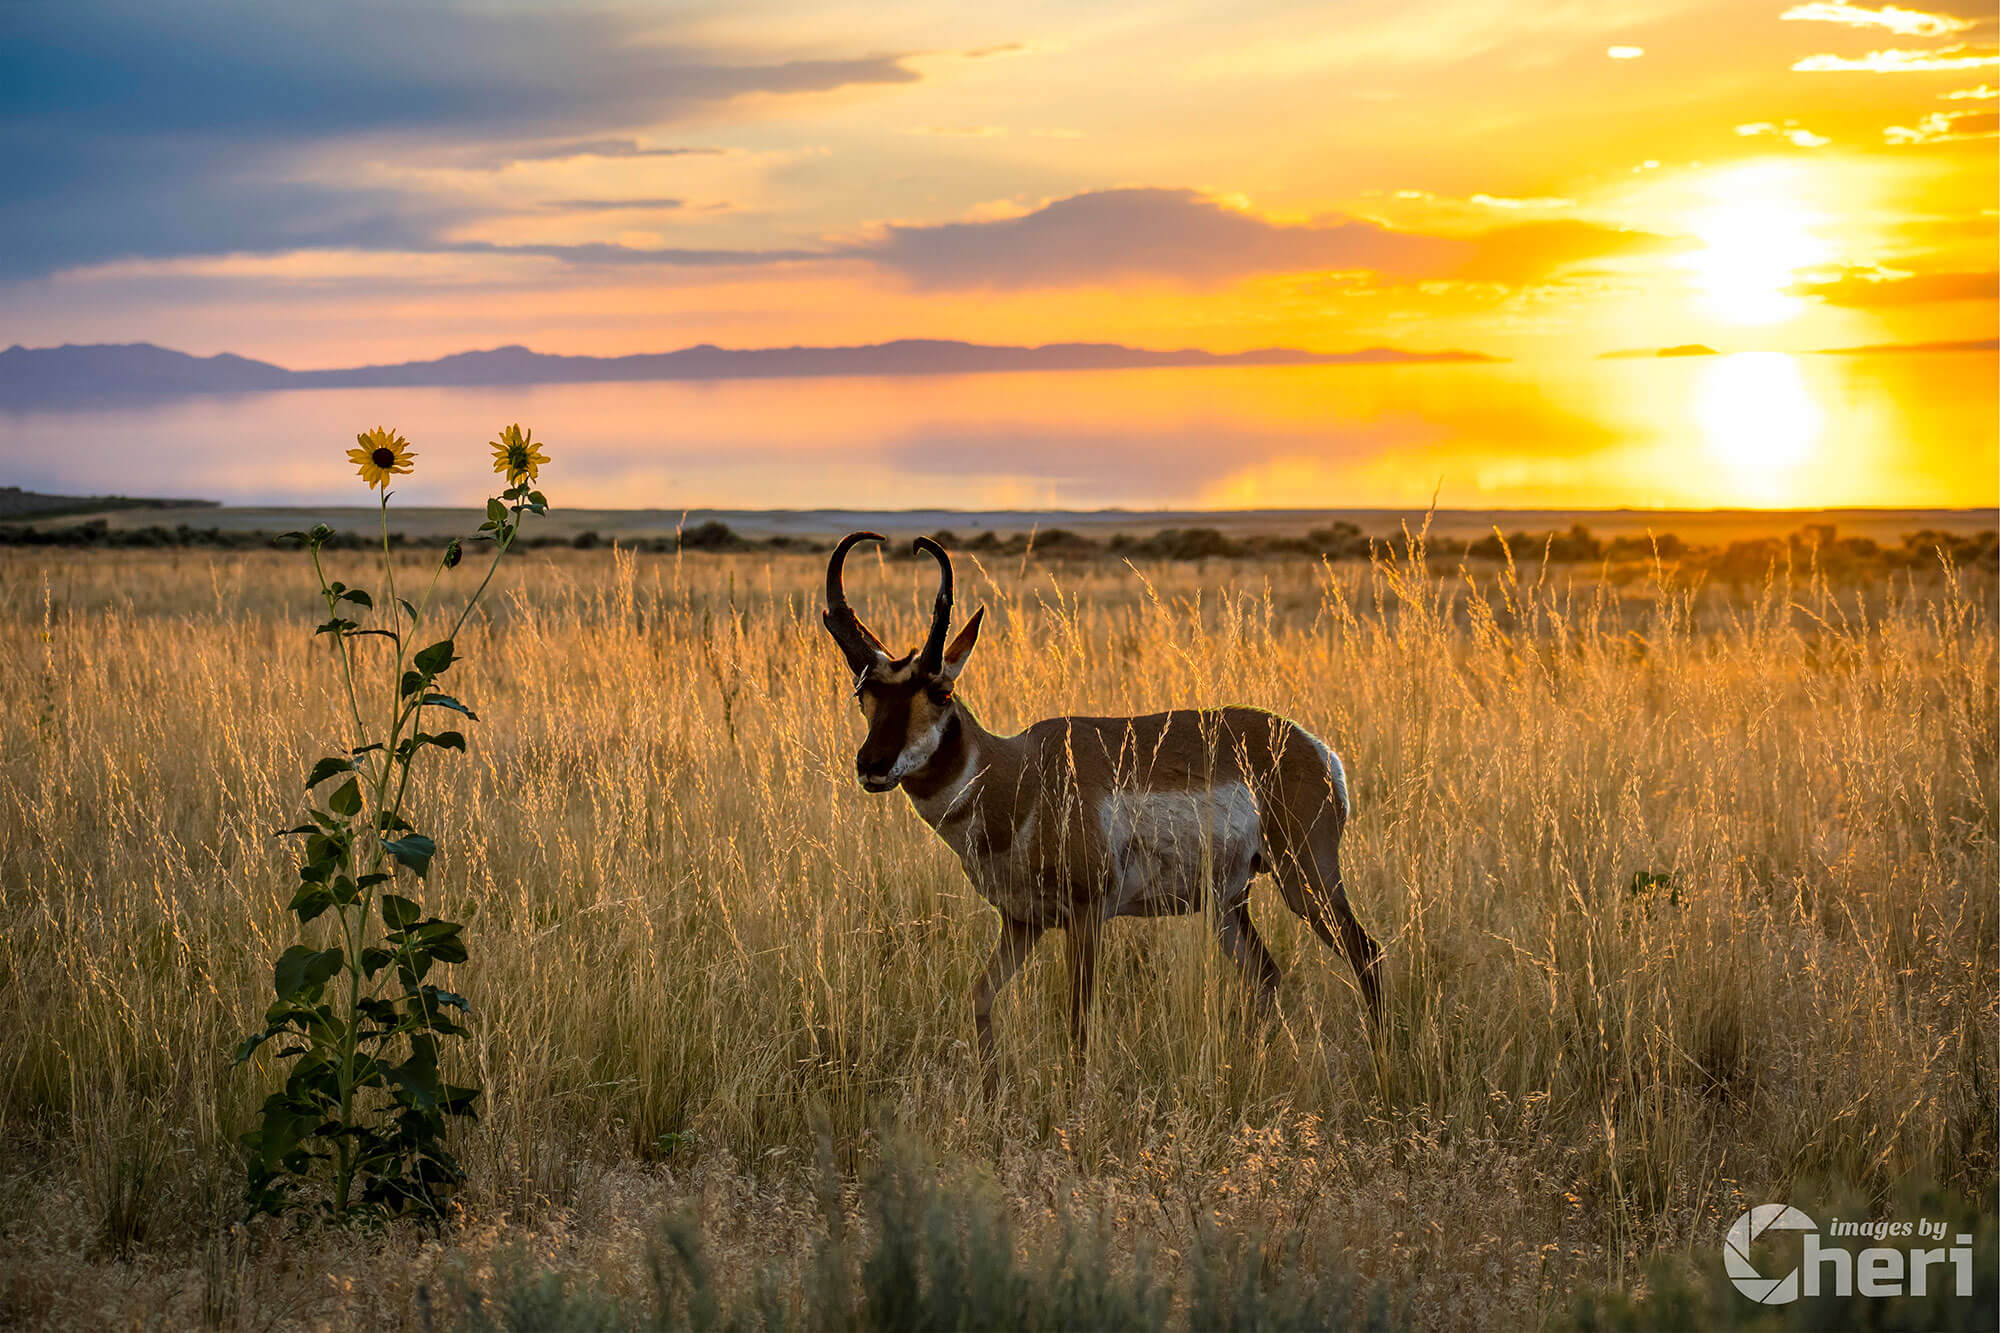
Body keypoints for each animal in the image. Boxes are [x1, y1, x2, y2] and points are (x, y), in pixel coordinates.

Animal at [820, 524, 1384, 1088]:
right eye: (863, 695)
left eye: (940, 692)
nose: (871, 764)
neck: (1018, 774)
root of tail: (1313, 747)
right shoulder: (1022, 923)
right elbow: (979, 997)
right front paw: (991, 1089)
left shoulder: (1087, 918)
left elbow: (1078, 1021)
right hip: (1227, 903)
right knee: (1265, 973)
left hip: (1306, 880)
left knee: (1367, 954)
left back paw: (1381, 1062)